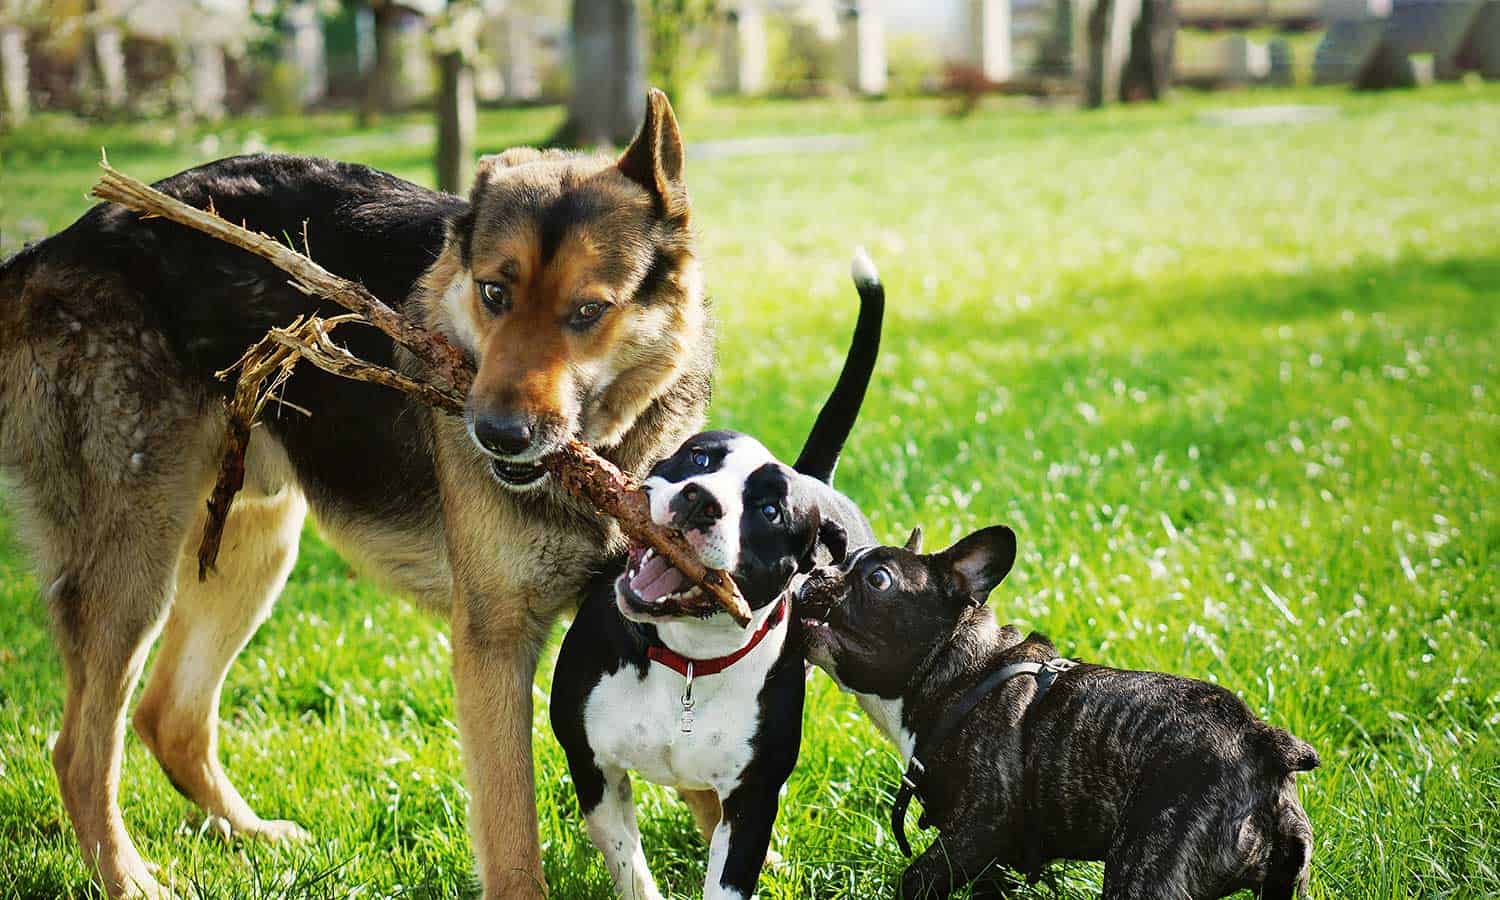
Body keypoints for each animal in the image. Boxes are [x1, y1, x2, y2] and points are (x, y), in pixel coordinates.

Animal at [0, 89, 714, 894]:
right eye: (494, 293)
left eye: (588, 312)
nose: (495, 435)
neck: (607, 456)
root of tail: (53, 248)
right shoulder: (493, 646)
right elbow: (513, 841)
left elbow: (710, 790)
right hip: (135, 568)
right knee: (80, 750)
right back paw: (128, 879)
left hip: (253, 544)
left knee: (168, 717)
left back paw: (251, 836)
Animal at [549, 249, 876, 894]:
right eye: (699, 457)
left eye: (770, 511)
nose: (701, 500)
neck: (686, 662)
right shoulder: (594, 769)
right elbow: (629, 866)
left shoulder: (753, 801)